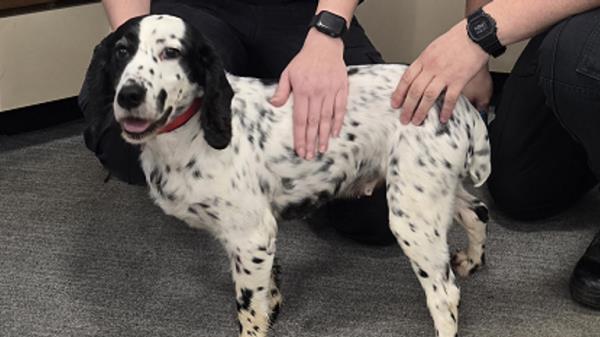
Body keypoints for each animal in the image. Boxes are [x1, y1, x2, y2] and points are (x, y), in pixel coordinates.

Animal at [85, 13, 492, 336]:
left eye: (171, 52)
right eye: (121, 51)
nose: (129, 95)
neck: (191, 133)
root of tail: (458, 103)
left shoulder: (251, 236)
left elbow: (249, 312)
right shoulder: (259, 240)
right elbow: (267, 291)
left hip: (412, 215)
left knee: (444, 295)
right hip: (432, 193)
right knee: (478, 211)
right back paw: (472, 260)